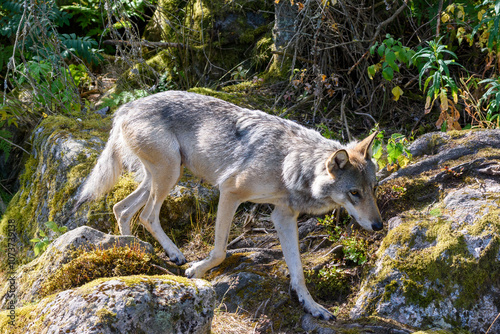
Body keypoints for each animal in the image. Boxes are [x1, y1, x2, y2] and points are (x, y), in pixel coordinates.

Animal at [79, 90, 382, 320]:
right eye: (354, 193)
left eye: (373, 189)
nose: (379, 225)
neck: (289, 163)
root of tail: (126, 107)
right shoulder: (230, 192)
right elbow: (220, 251)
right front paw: (196, 271)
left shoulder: (283, 216)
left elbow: (298, 272)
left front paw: (313, 306)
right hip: (169, 174)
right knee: (146, 215)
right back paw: (173, 255)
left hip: (164, 175)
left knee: (122, 208)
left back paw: (131, 250)